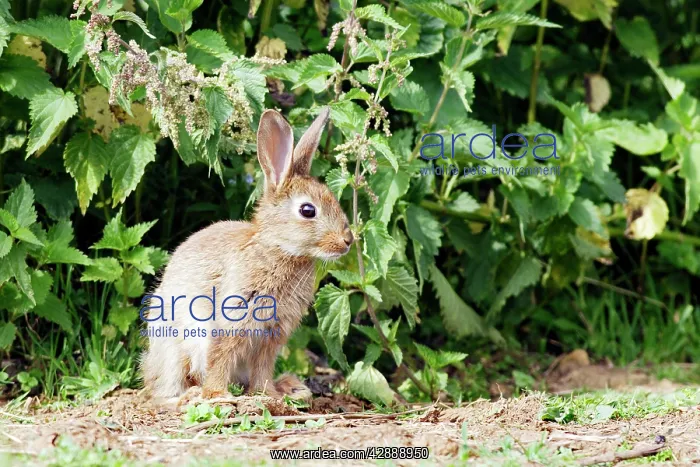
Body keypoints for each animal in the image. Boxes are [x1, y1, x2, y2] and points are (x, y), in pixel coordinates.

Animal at [140, 107, 353, 401]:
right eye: (308, 210)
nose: (347, 241)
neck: (279, 249)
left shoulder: (272, 334)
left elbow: (262, 366)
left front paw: (269, 394)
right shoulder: (231, 318)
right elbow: (220, 356)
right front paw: (218, 394)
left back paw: (291, 388)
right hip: (173, 349)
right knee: (162, 392)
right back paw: (188, 396)